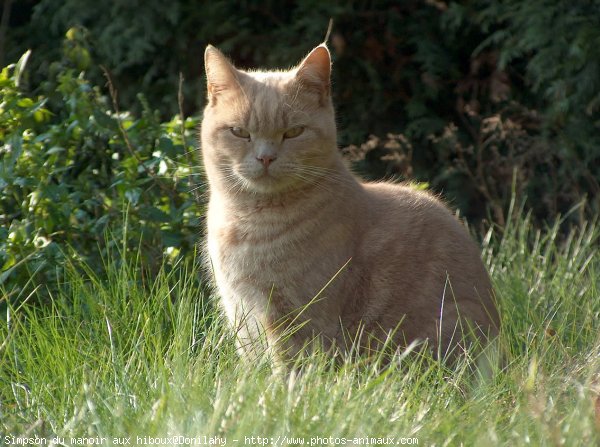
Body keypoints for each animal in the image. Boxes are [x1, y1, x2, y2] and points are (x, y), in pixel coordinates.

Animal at [199, 42, 500, 364]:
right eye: (239, 132)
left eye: (293, 132)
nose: (265, 157)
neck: (247, 218)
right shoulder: (241, 313)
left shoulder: (296, 318)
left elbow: (288, 367)